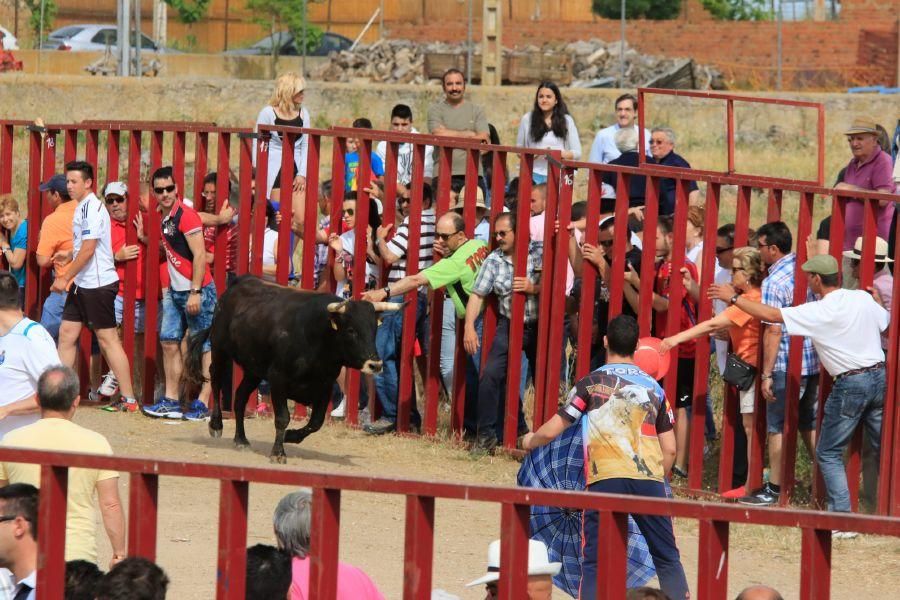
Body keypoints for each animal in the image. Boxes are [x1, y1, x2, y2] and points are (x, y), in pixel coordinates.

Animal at [186, 274, 400, 462]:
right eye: (351, 330)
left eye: (374, 330)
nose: (375, 364)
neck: (316, 335)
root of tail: (238, 283)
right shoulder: (278, 380)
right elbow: (282, 418)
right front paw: (278, 453)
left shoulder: (324, 386)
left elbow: (316, 422)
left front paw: (290, 436)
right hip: (219, 348)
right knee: (215, 380)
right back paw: (216, 424)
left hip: (254, 370)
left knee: (239, 398)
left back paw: (241, 439)